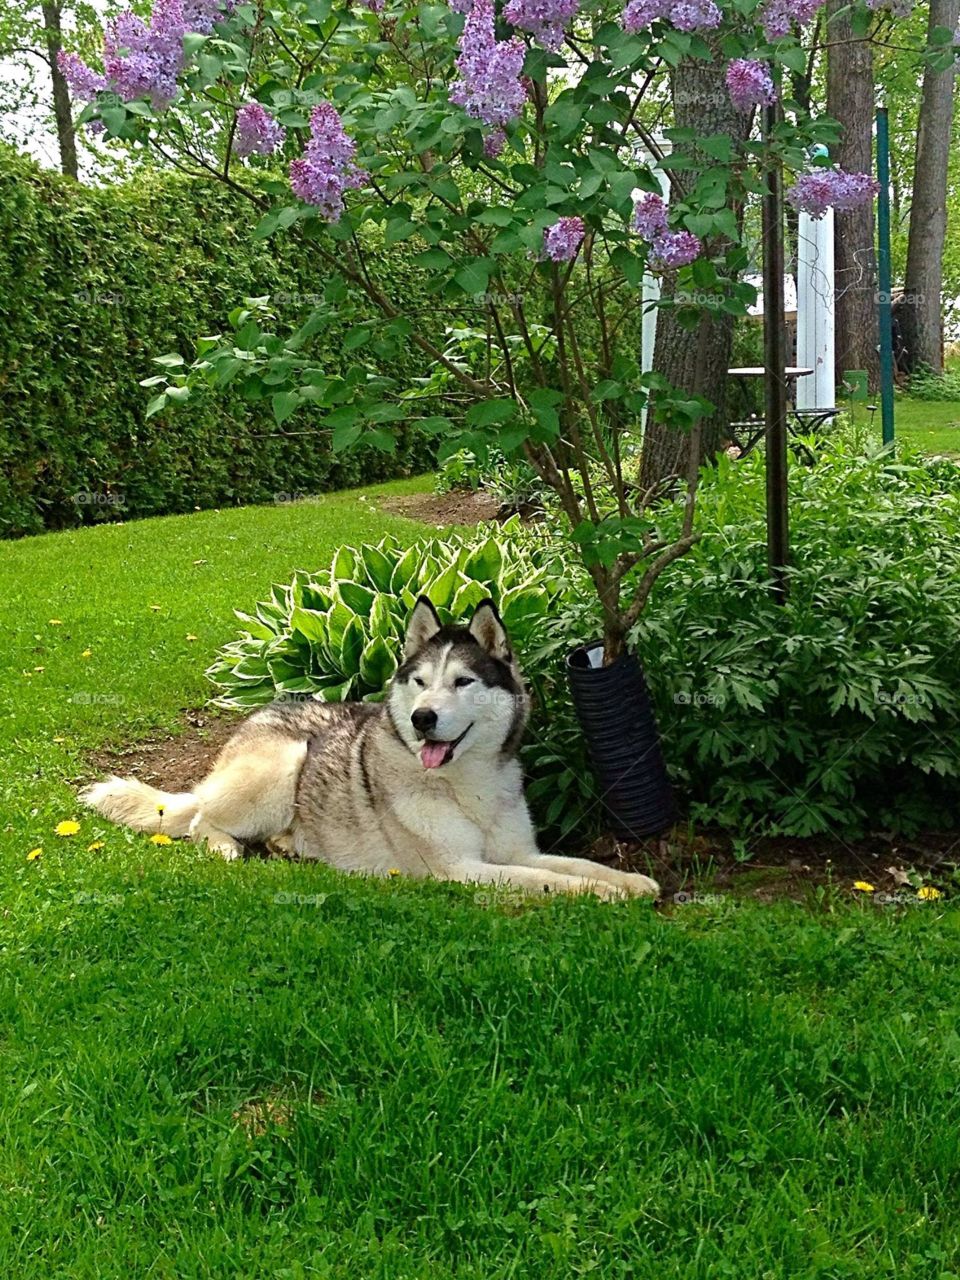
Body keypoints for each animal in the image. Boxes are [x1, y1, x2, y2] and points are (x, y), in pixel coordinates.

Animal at [84, 599, 660, 901]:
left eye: (463, 682)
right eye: (421, 682)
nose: (422, 718)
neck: (465, 786)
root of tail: (265, 711)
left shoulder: (519, 851)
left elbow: (576, 865)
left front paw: (631, 880)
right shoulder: (462, 869)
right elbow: (551, 882)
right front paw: (609, 896)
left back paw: (289, 846)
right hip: (285, 765)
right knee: (202, 820)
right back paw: (227, 847)